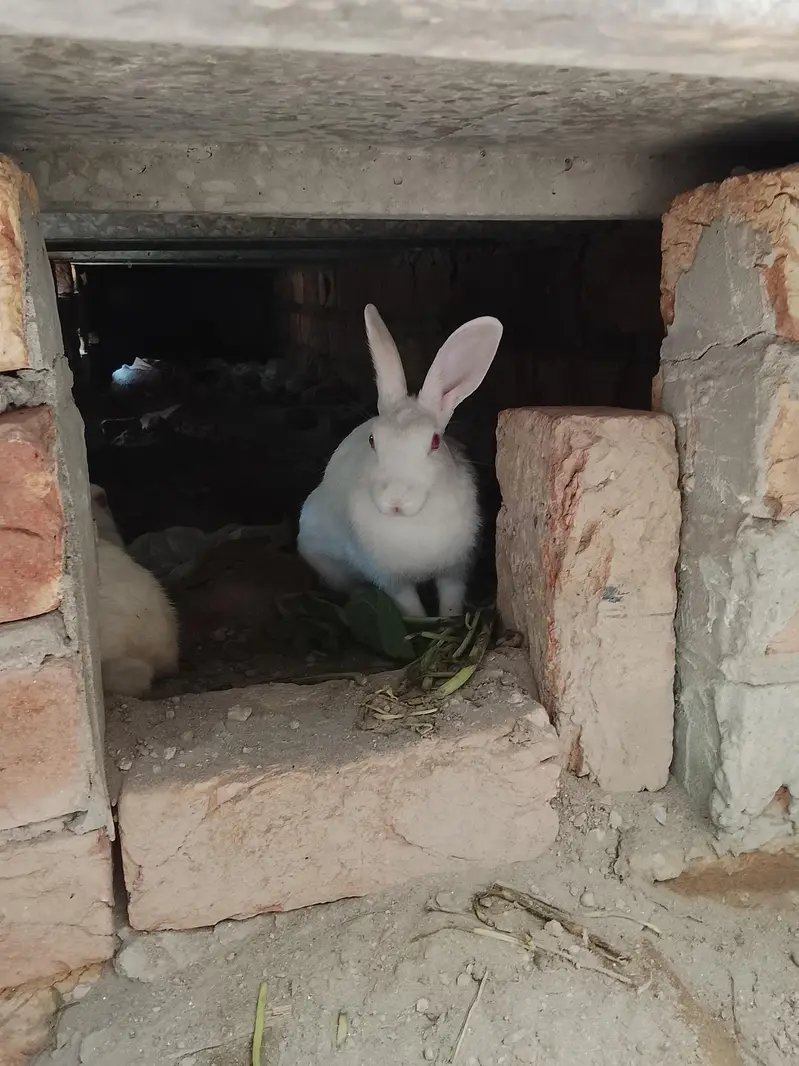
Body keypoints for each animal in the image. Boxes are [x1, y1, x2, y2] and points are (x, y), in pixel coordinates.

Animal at [297, 304, 503, 618]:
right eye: (373, 440)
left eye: (434, 441)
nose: (395, 501)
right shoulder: (390, 580)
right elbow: (409, 606)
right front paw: (421, 621)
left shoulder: (456, 569)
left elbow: (451, 598)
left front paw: (449, 618)